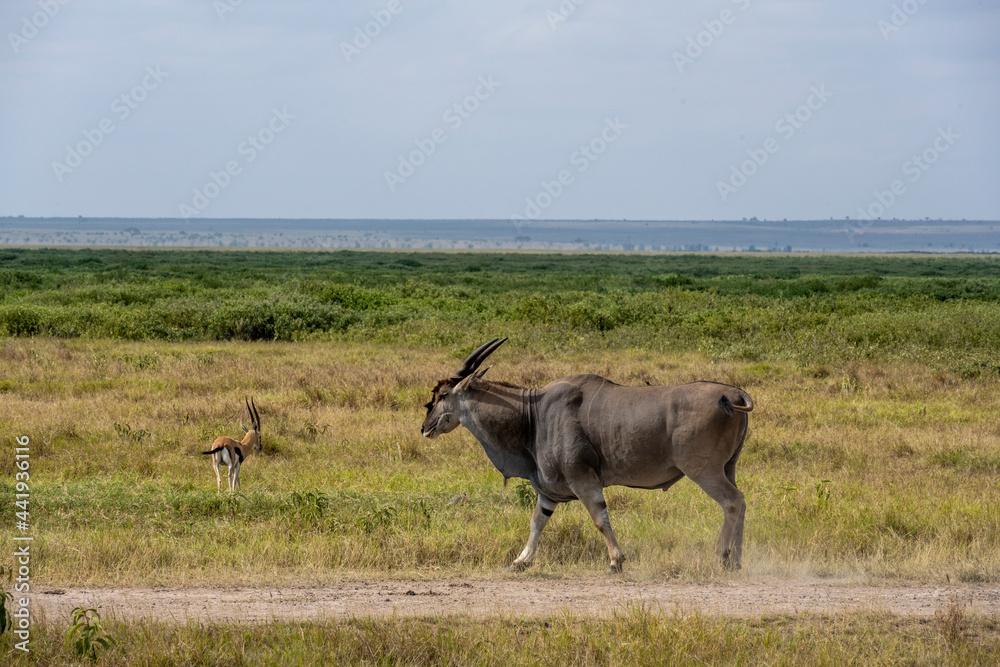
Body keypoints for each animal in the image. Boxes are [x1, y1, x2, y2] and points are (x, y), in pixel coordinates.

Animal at [421, 338, 753, 573]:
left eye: (442, 395)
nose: (425, 427)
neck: (533, 414)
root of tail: (733, 394)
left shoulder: (582, 479)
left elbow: (600, 518)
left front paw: (616, 561)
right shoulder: (548, 491)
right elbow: (536, 522)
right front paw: (521, 561)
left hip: (704, 471)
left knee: (731, 501)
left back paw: (721, 557)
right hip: (728, 467)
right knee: (742, 502)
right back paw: (736, 561)